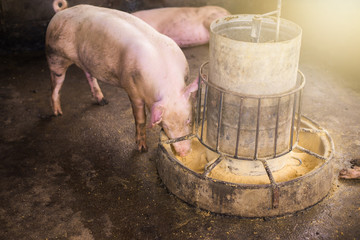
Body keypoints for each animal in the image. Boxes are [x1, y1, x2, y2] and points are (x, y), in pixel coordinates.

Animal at [46, 0, 198, 157]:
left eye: (189, 121)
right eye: (165, 126)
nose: (184, 152)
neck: (169, 86)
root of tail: (61, 11)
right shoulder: (132, 89)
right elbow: (140, 118)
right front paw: (142, 149)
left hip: (85, 60)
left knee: (89, 75)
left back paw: (103, 101)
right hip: (54, 55)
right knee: (56, 84)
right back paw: (57, 113)